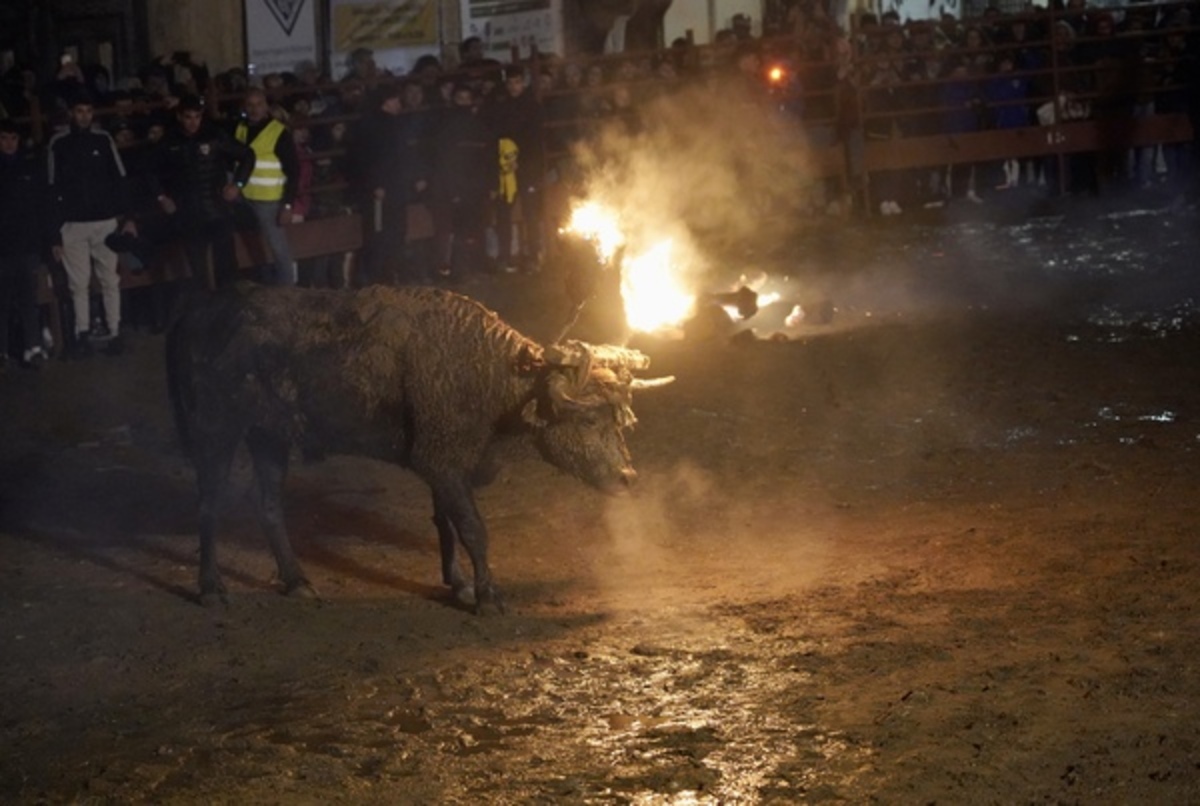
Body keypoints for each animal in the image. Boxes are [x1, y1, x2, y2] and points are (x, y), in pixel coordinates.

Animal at [166, 283, 676, 611]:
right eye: (588, 418)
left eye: (620, 421)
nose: (626, 478)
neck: (489, 375)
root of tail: (199, 311)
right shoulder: (444, 463)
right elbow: (472, 528)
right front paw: (487, 595)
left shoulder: (442, 464)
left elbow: (444, 524)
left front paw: (459, 584)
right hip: (216, 429)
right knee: (209, 505)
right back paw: (211, 588)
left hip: (268, 436)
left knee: (268, 504)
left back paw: (296, 582)